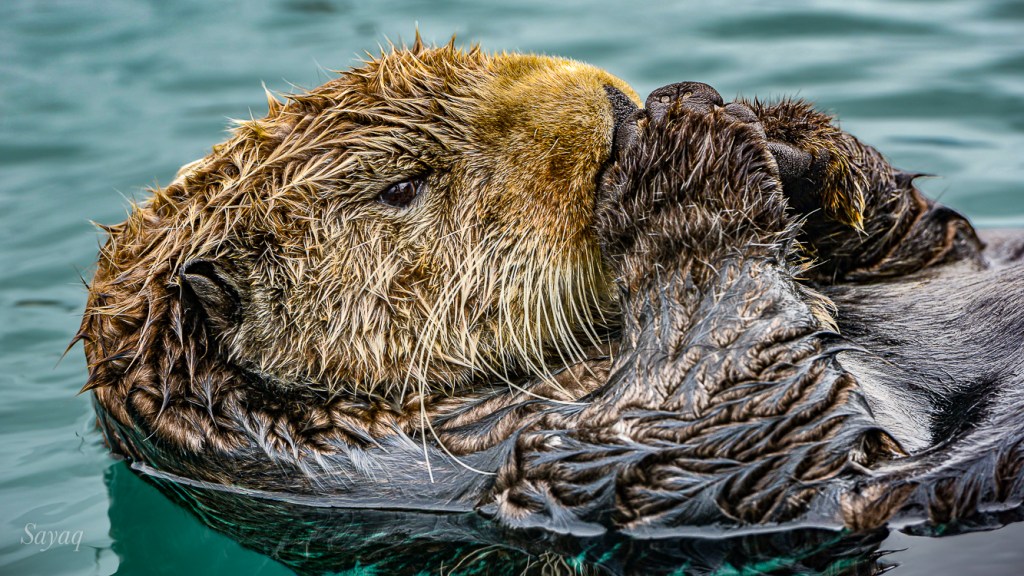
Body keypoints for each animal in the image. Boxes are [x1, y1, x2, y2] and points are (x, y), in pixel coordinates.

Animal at [78, 38, 1024, 542]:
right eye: (401, 187)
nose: (612, 104)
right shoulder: (538, 465)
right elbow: (737, 423)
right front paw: (683, 162)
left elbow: (934, 240)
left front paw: (791, 140)